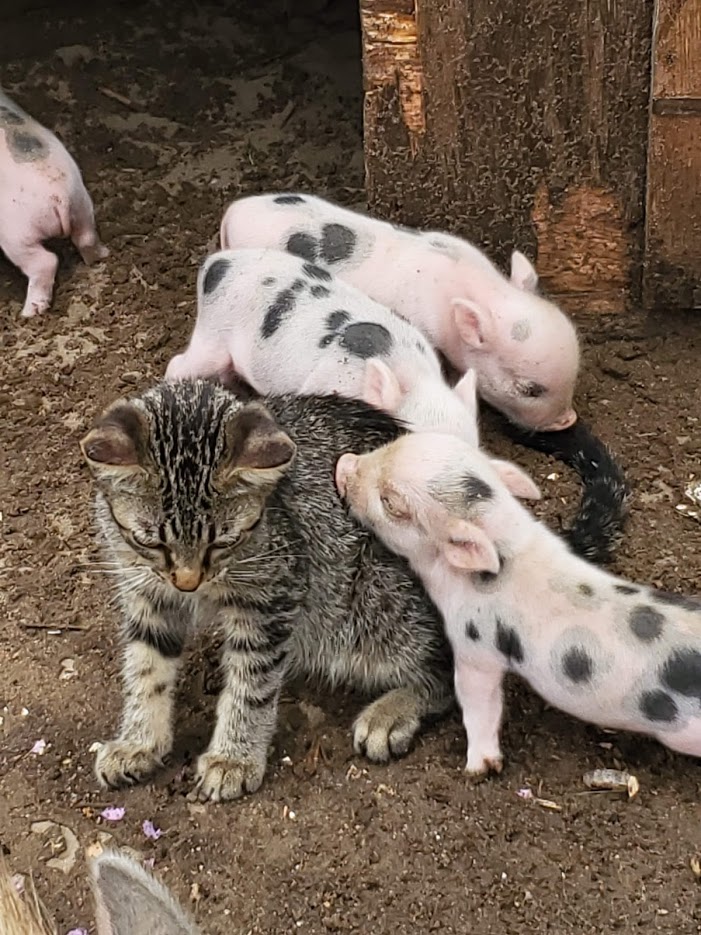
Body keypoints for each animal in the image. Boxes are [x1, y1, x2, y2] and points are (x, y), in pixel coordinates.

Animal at [0, 88, 108, 318]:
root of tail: (60, 194)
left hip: (17, 233)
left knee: (46, 261)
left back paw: (28, 313)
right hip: (82, 205)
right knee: (86, 238)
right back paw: (101, 256)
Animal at [336, 432, 701, 775]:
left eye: (391, 503)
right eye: (394, 443)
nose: (344, 463)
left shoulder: (475, 646)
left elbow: (477, 702)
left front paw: (478, 768)